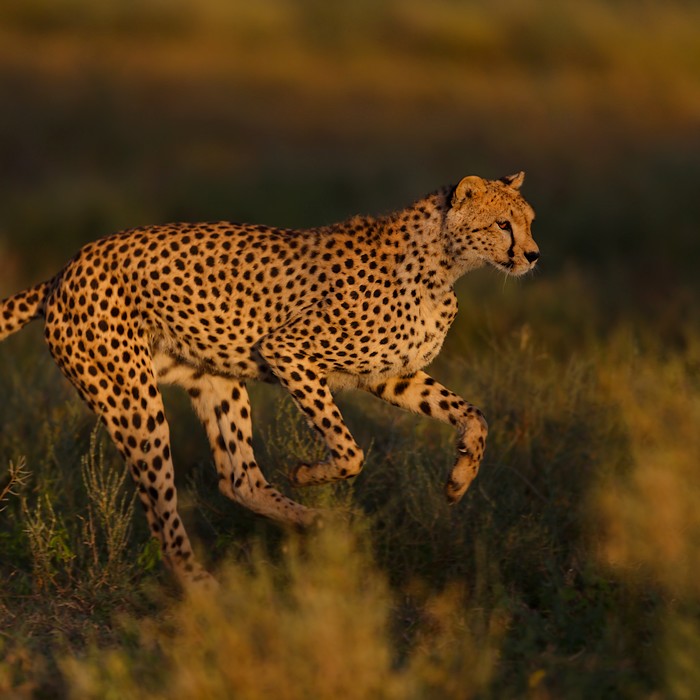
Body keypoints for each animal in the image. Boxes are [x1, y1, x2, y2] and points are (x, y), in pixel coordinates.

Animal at [0, 171, 540, 584]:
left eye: (529, 222)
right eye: (502, 224)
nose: (533, 255)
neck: (444, 265)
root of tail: (65, 269)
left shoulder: (390, 376)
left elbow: (475, 417)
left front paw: (459, 480)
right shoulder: (289, 352)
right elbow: (350, 451)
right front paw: (306, 473)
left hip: (215, 379)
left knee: (239, 478)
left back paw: (317, 524)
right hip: (133, 400)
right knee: (162, 513)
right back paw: (204, 588)